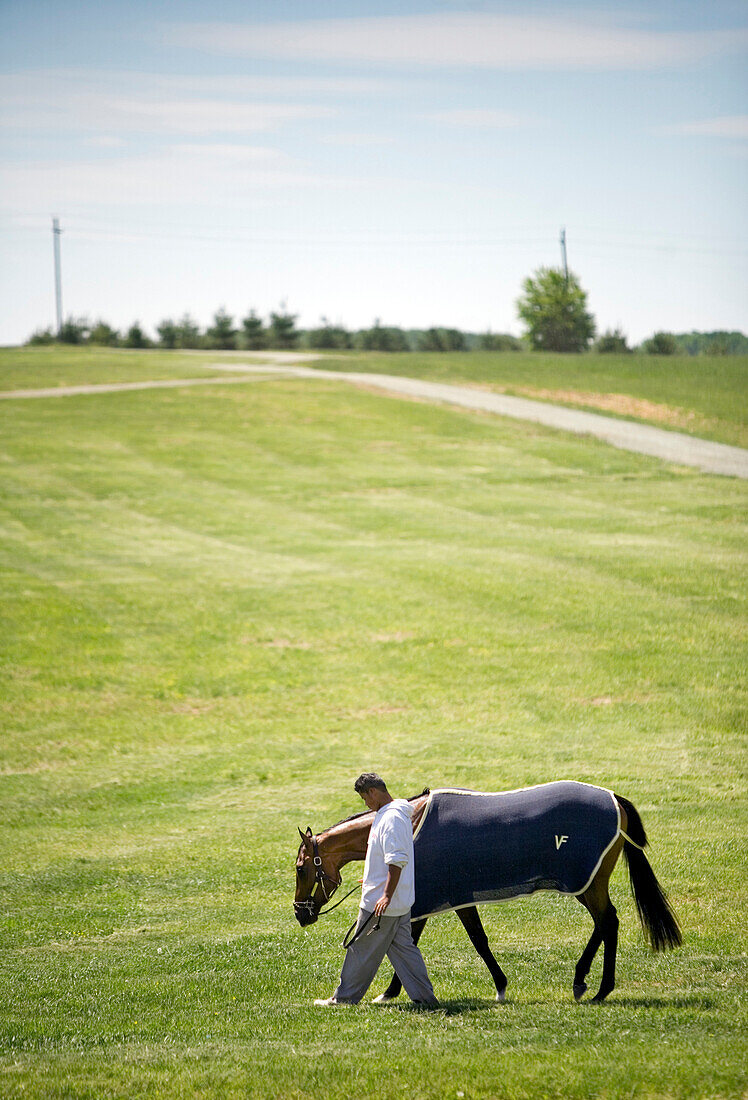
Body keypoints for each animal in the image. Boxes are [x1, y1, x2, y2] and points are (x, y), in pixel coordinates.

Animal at [292, 778, 682, 1003]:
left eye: (299, 867)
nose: (300, 912)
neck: (411, 821)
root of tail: (615, 799)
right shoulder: (453, 898)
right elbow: (465, 939)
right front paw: (499, 985)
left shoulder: (431, 896)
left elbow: (443, 941)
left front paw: (388, 993)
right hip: (589, 884)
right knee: (606, 922)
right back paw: (591, 984)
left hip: (587, 883)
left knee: (607, 921)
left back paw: (592, 986)